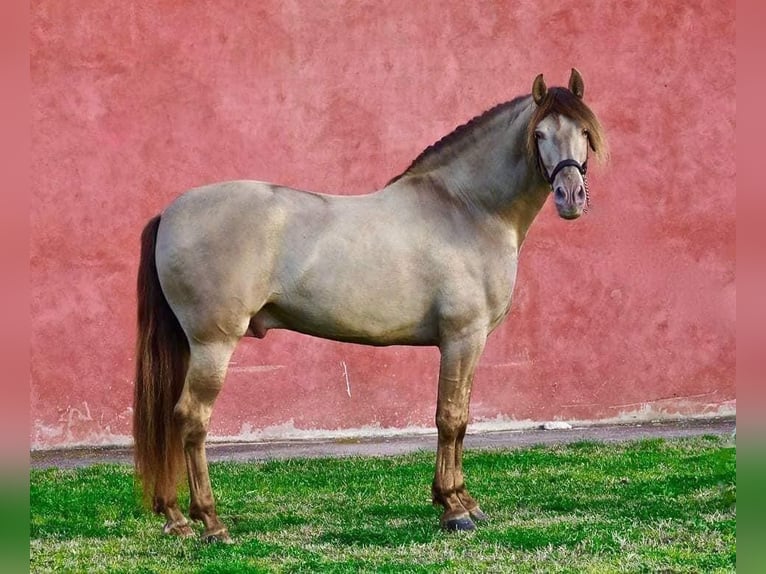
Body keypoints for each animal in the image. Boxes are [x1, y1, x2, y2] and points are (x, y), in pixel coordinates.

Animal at [134, 70, 612, 544]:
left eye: (584, 133)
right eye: (540, 134)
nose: (571, 196)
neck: (466, 208)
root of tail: (170, 212)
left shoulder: (469, 344)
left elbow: (461, 419)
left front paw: (463, 500)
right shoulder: (462, 338)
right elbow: (450, 418)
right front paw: (454, 509)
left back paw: (175, 518)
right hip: (213, 344)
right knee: (191, 420)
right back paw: (211, 522)